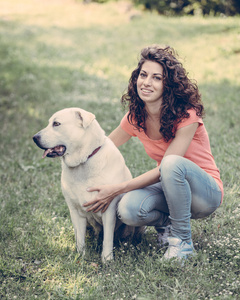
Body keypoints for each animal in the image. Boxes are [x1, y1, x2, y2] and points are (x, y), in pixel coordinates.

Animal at [33, 108, 139, 262]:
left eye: (56, 124)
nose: (34, 138)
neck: (84, 161)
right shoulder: (75, 211)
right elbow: (80, 239)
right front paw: (80, 256)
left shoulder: (108, 210)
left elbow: (108, 238)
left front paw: (107, 259)